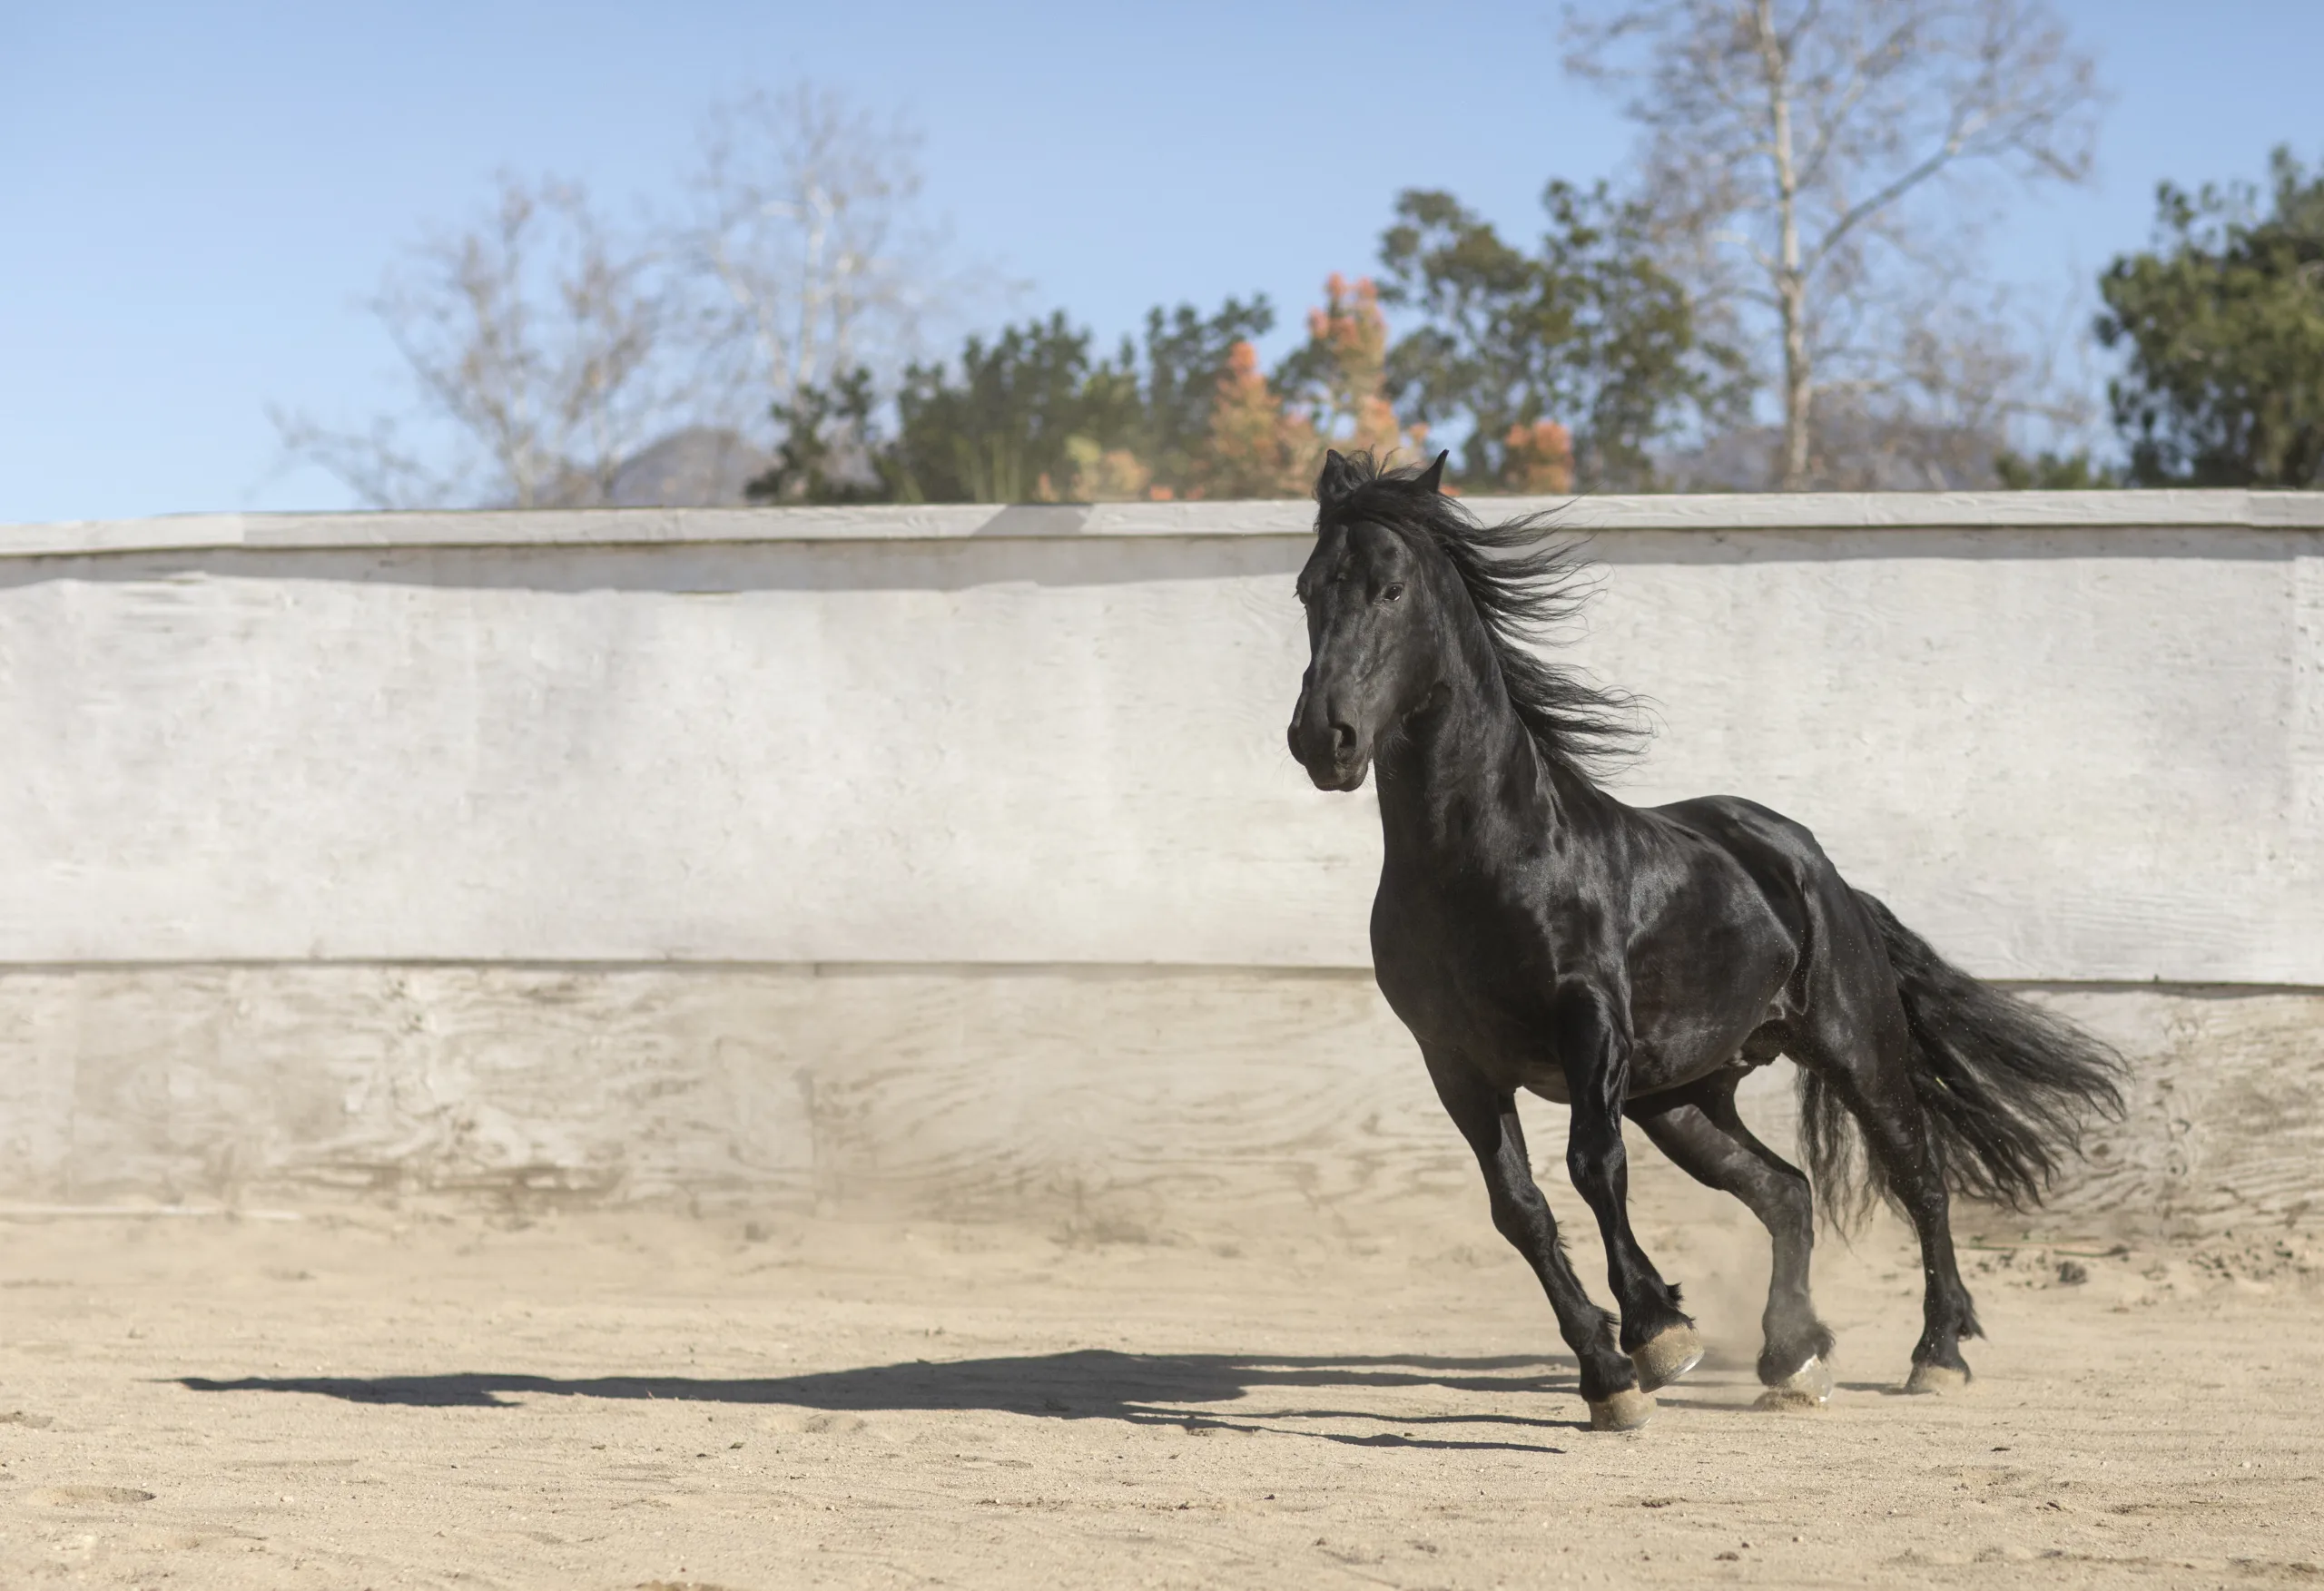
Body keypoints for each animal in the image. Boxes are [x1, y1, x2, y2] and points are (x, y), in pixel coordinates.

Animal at [1284, 450, 2123, 1431]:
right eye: (1308, 588)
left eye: (1391, 588)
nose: (1323, 738)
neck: (1484, 860)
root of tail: (1817, 867)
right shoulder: (1453, 1060)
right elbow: (1519, 1207)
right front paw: (1610, 1377)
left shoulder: (1590, 1025)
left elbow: (1591, 1165)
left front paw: (1657, 1334)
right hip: (1682, 1098)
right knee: (1786, 1190)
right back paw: (1793, 1356)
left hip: (1854, 1048)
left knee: (1919, 1174)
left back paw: (1937, 1354)